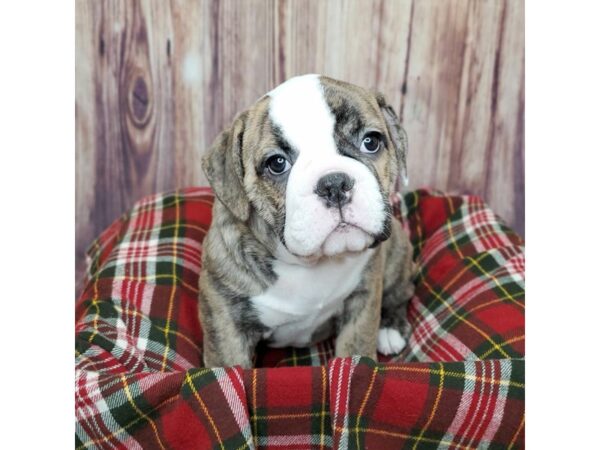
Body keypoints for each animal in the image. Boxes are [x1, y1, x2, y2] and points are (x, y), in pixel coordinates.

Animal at [199, 74, 414, 370]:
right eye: (277, 163)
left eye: (371, 142)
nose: (334, 184)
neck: (310, 264)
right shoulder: (226, 321)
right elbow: (228, 371)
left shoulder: (363, 301)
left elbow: (356, 352)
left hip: (397, 254)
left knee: (401, 292)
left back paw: (390, 327)